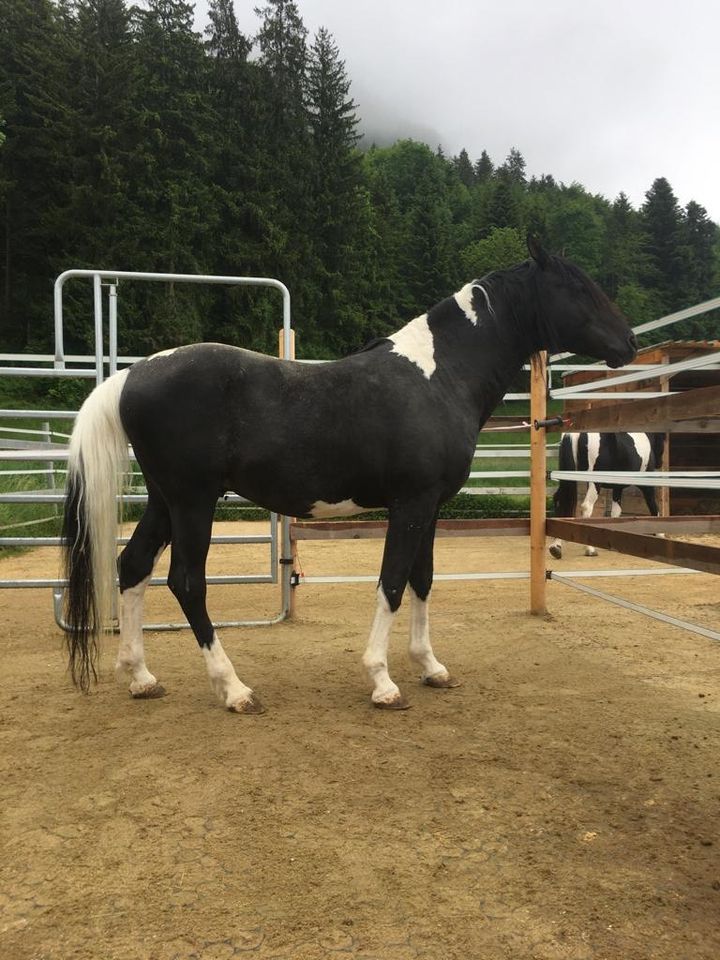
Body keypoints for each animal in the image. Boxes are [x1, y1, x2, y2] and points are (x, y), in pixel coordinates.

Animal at [60, 239, 636, 712]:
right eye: (577, 287)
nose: (628, 342)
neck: (440, 376)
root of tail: (132, 375)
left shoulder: (430, 507)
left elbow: (423, 580)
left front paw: (430, 667)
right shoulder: (410, 504)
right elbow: (393, 583)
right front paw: (383, 681)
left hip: (165, 500)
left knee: (133, 566)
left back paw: (141, 677)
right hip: (192, 502)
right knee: (186, 582)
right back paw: (234, 689)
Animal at [552, 432, 664, 560]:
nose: (660, 463)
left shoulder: (618, 487)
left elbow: (615, 512)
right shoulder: (646, 485)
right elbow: (654, 507)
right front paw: (660, 534)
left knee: (560, 501)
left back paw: (556, 547)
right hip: (594, 483)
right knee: (586, 507)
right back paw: (590, 550)